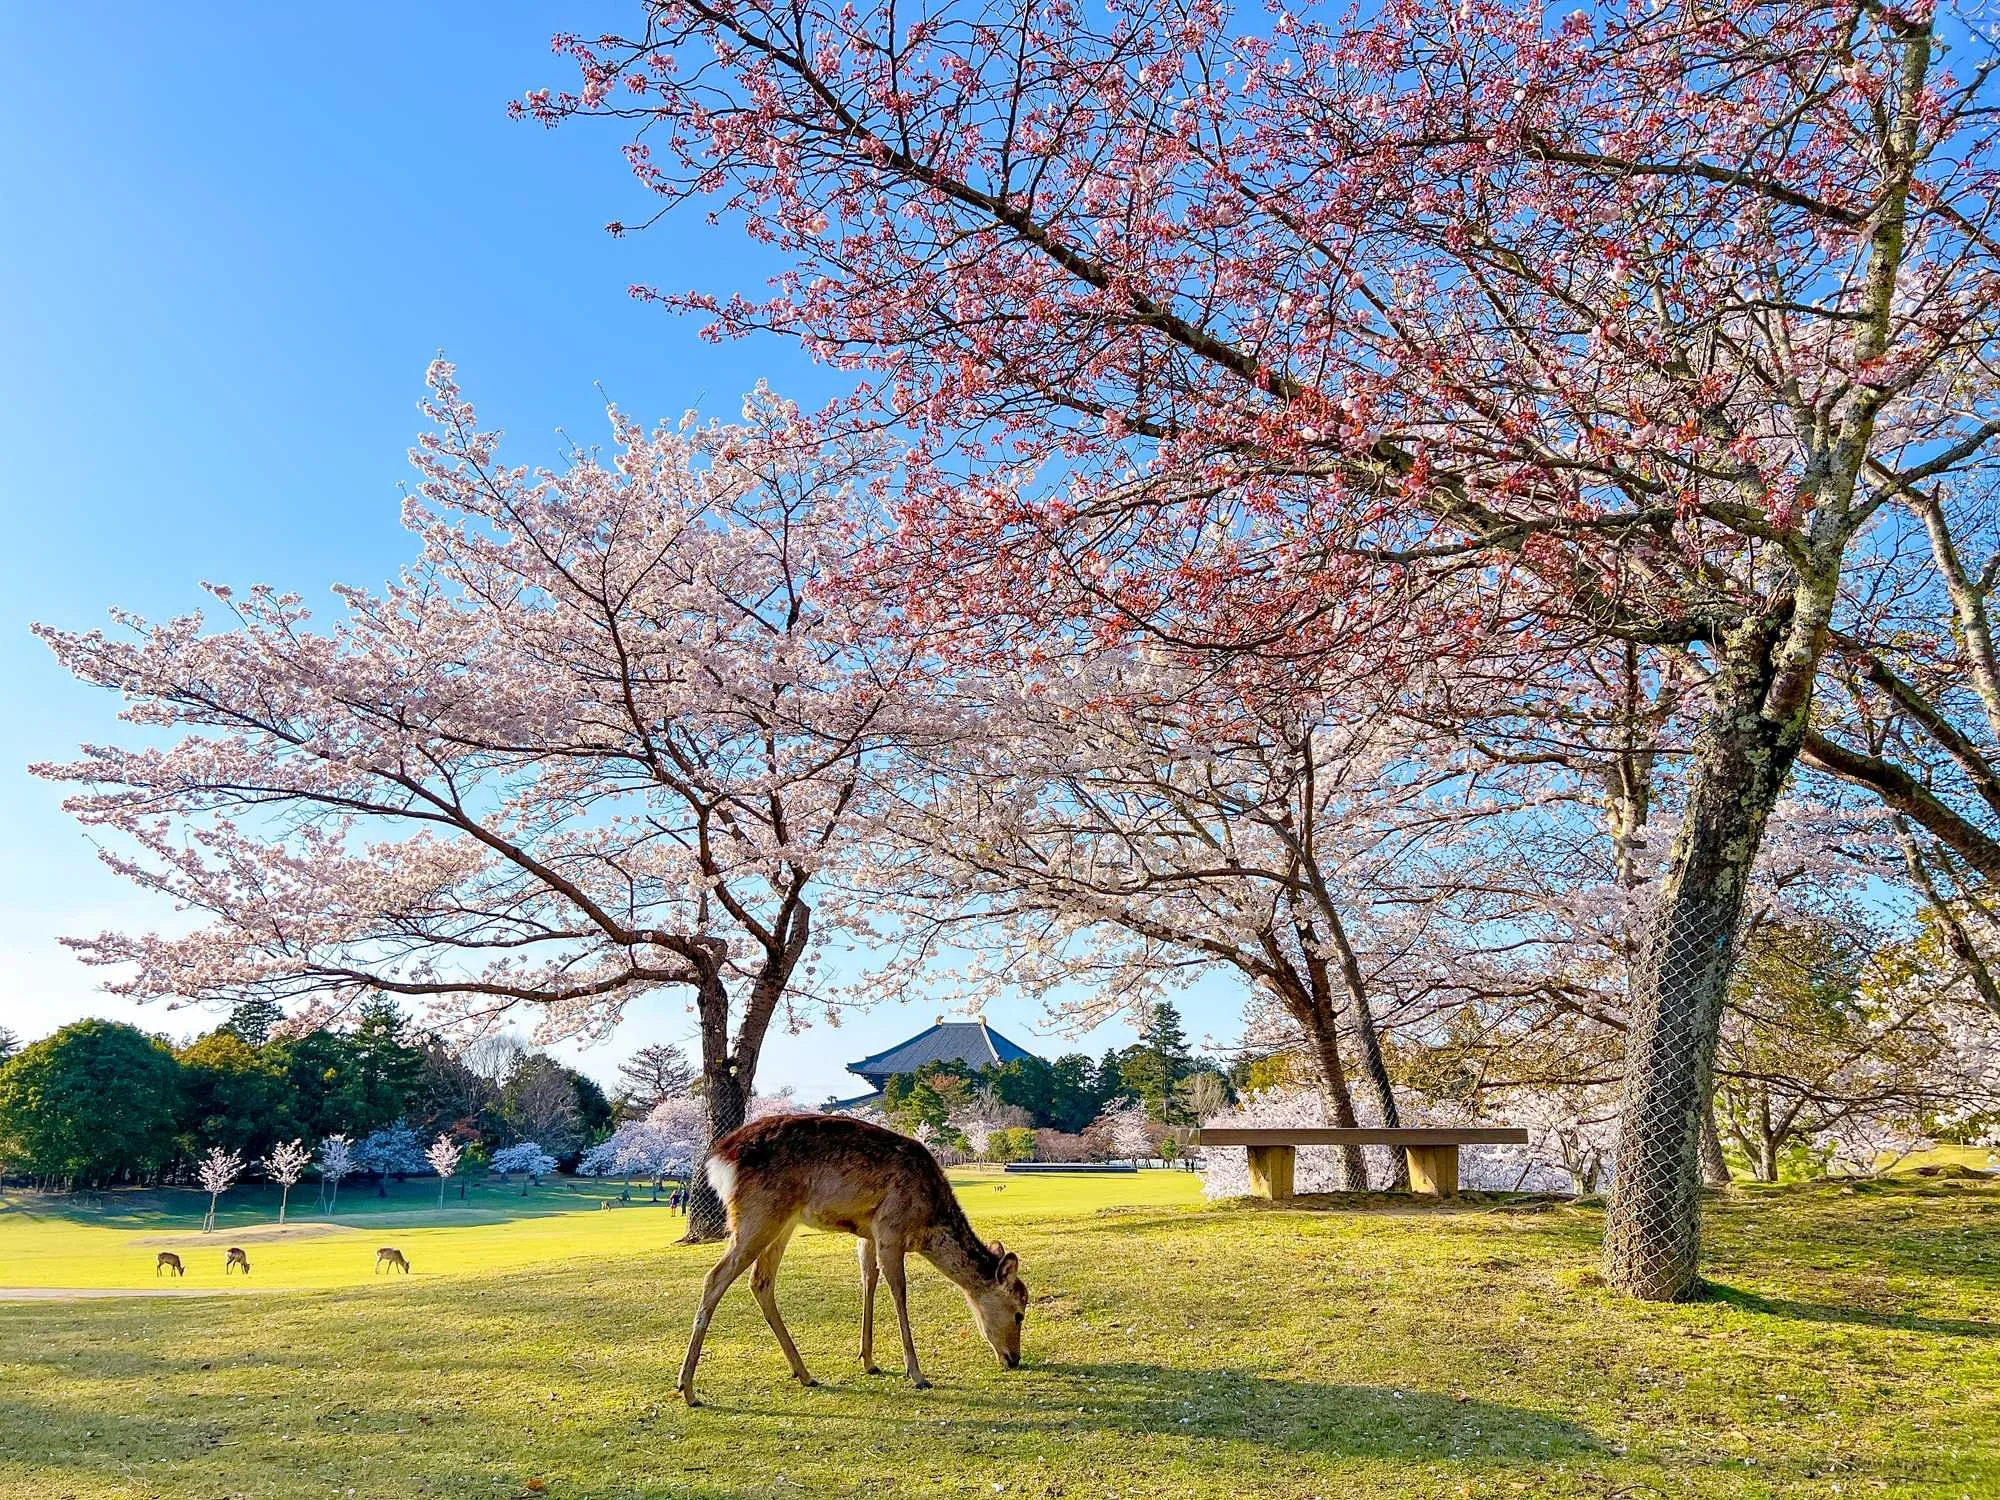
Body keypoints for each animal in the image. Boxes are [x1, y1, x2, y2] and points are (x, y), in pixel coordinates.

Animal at [676, 1113, 1029, 1407]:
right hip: (757, 1215)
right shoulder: (890, 1228)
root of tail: (720, 1159)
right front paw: (916, 1374)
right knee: (715, 1277)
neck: (926, 1223)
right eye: (1020, 1313)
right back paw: (688, 1389)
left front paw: (869, 1361)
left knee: (760, 1281)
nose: (1014, 1359)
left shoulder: (868, 1232)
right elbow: (899, 1291)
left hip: (782, 1221)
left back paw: (805, 1374)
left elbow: (868, 1280)